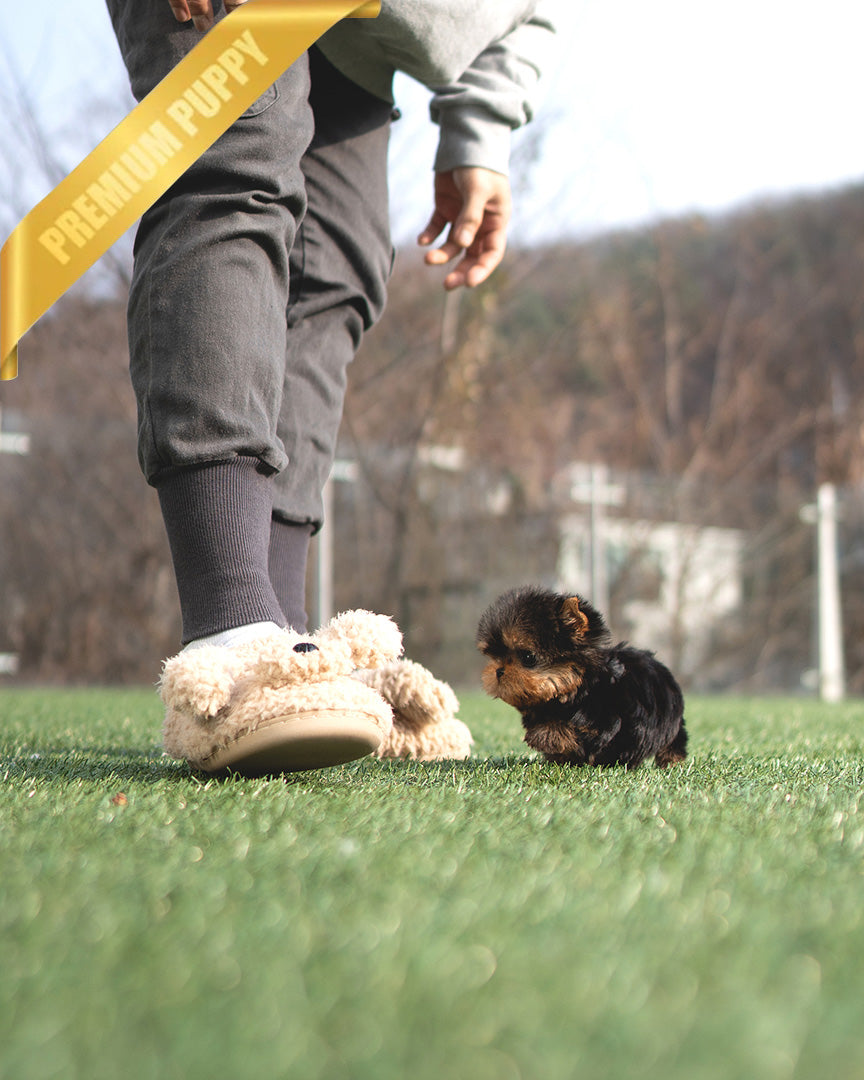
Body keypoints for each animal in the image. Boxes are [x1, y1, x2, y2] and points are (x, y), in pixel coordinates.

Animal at [475, 591, 686, 768]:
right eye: (496, 656)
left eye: (528, 657)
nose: (498, 671)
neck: (580, 689)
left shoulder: (604, 722)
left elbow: (569, 733)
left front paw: (543, 737)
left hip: (671, 725)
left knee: (673, 742)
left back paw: (671, 762)